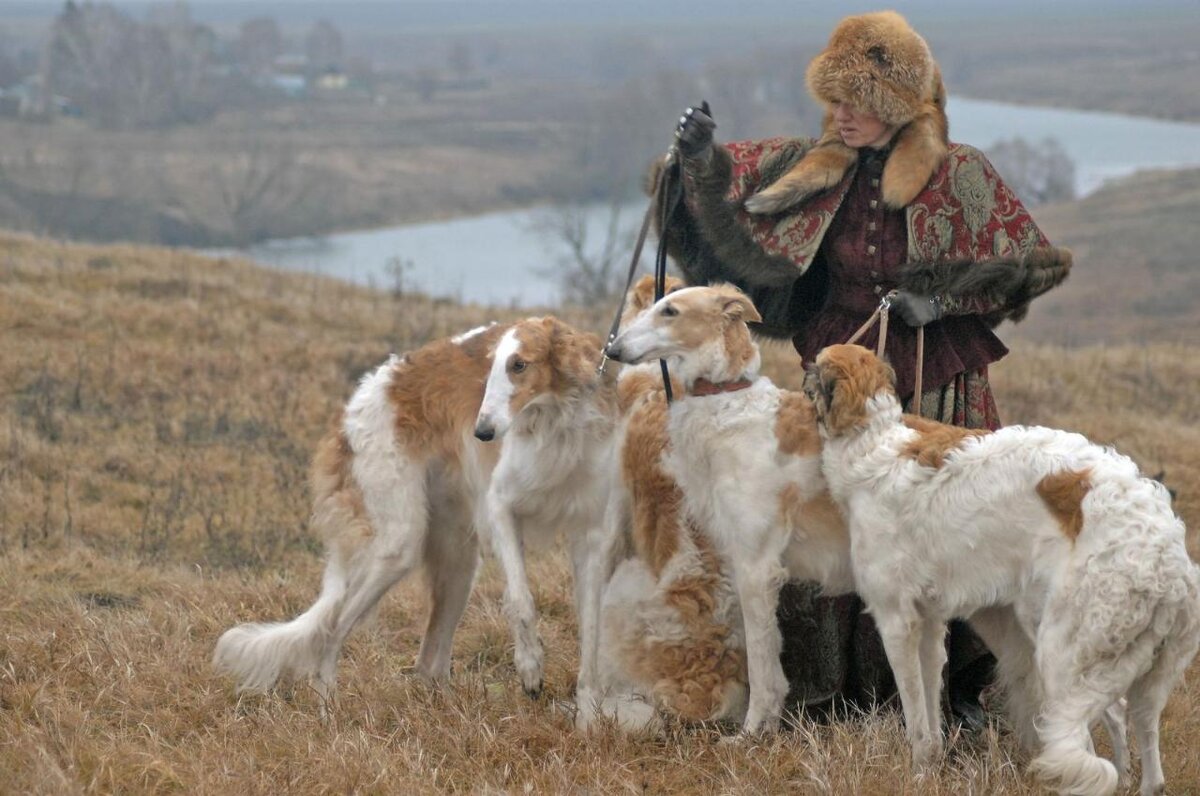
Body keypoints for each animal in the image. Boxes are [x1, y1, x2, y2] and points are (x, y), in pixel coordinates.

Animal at [216, 314, 624, 705]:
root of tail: (351, 412)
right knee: (331, 631)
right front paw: (530, 670)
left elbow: (591, 627)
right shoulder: (500, 506)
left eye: (519, 365)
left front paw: (589, 709)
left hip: (458, 558)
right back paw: (326, 706)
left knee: (428, 664)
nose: (482, 433)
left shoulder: (590, 534)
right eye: (489, 367)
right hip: (398, 543)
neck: (556, 421)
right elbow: (521, 600)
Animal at [604, 284, 849, 734]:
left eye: (670, 311)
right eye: (655, 307)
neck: (727, 402)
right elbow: (769, 667)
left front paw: (750, 734)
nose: (614, 349)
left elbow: (762, 669)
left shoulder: (757, 568)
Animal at [806, 345, 1200, 796]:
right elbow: (931, 713)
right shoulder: (929, 624)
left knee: (1085, 736)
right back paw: (1127, 776)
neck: (872, 435)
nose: (802, 373)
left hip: (1059, 652)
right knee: (1133, 731)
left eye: (816, 368)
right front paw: (932, 767)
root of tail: (1167, 553)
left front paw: (917, 774)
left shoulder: (897, 621)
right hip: (1126, 669)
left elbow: (917, 718)